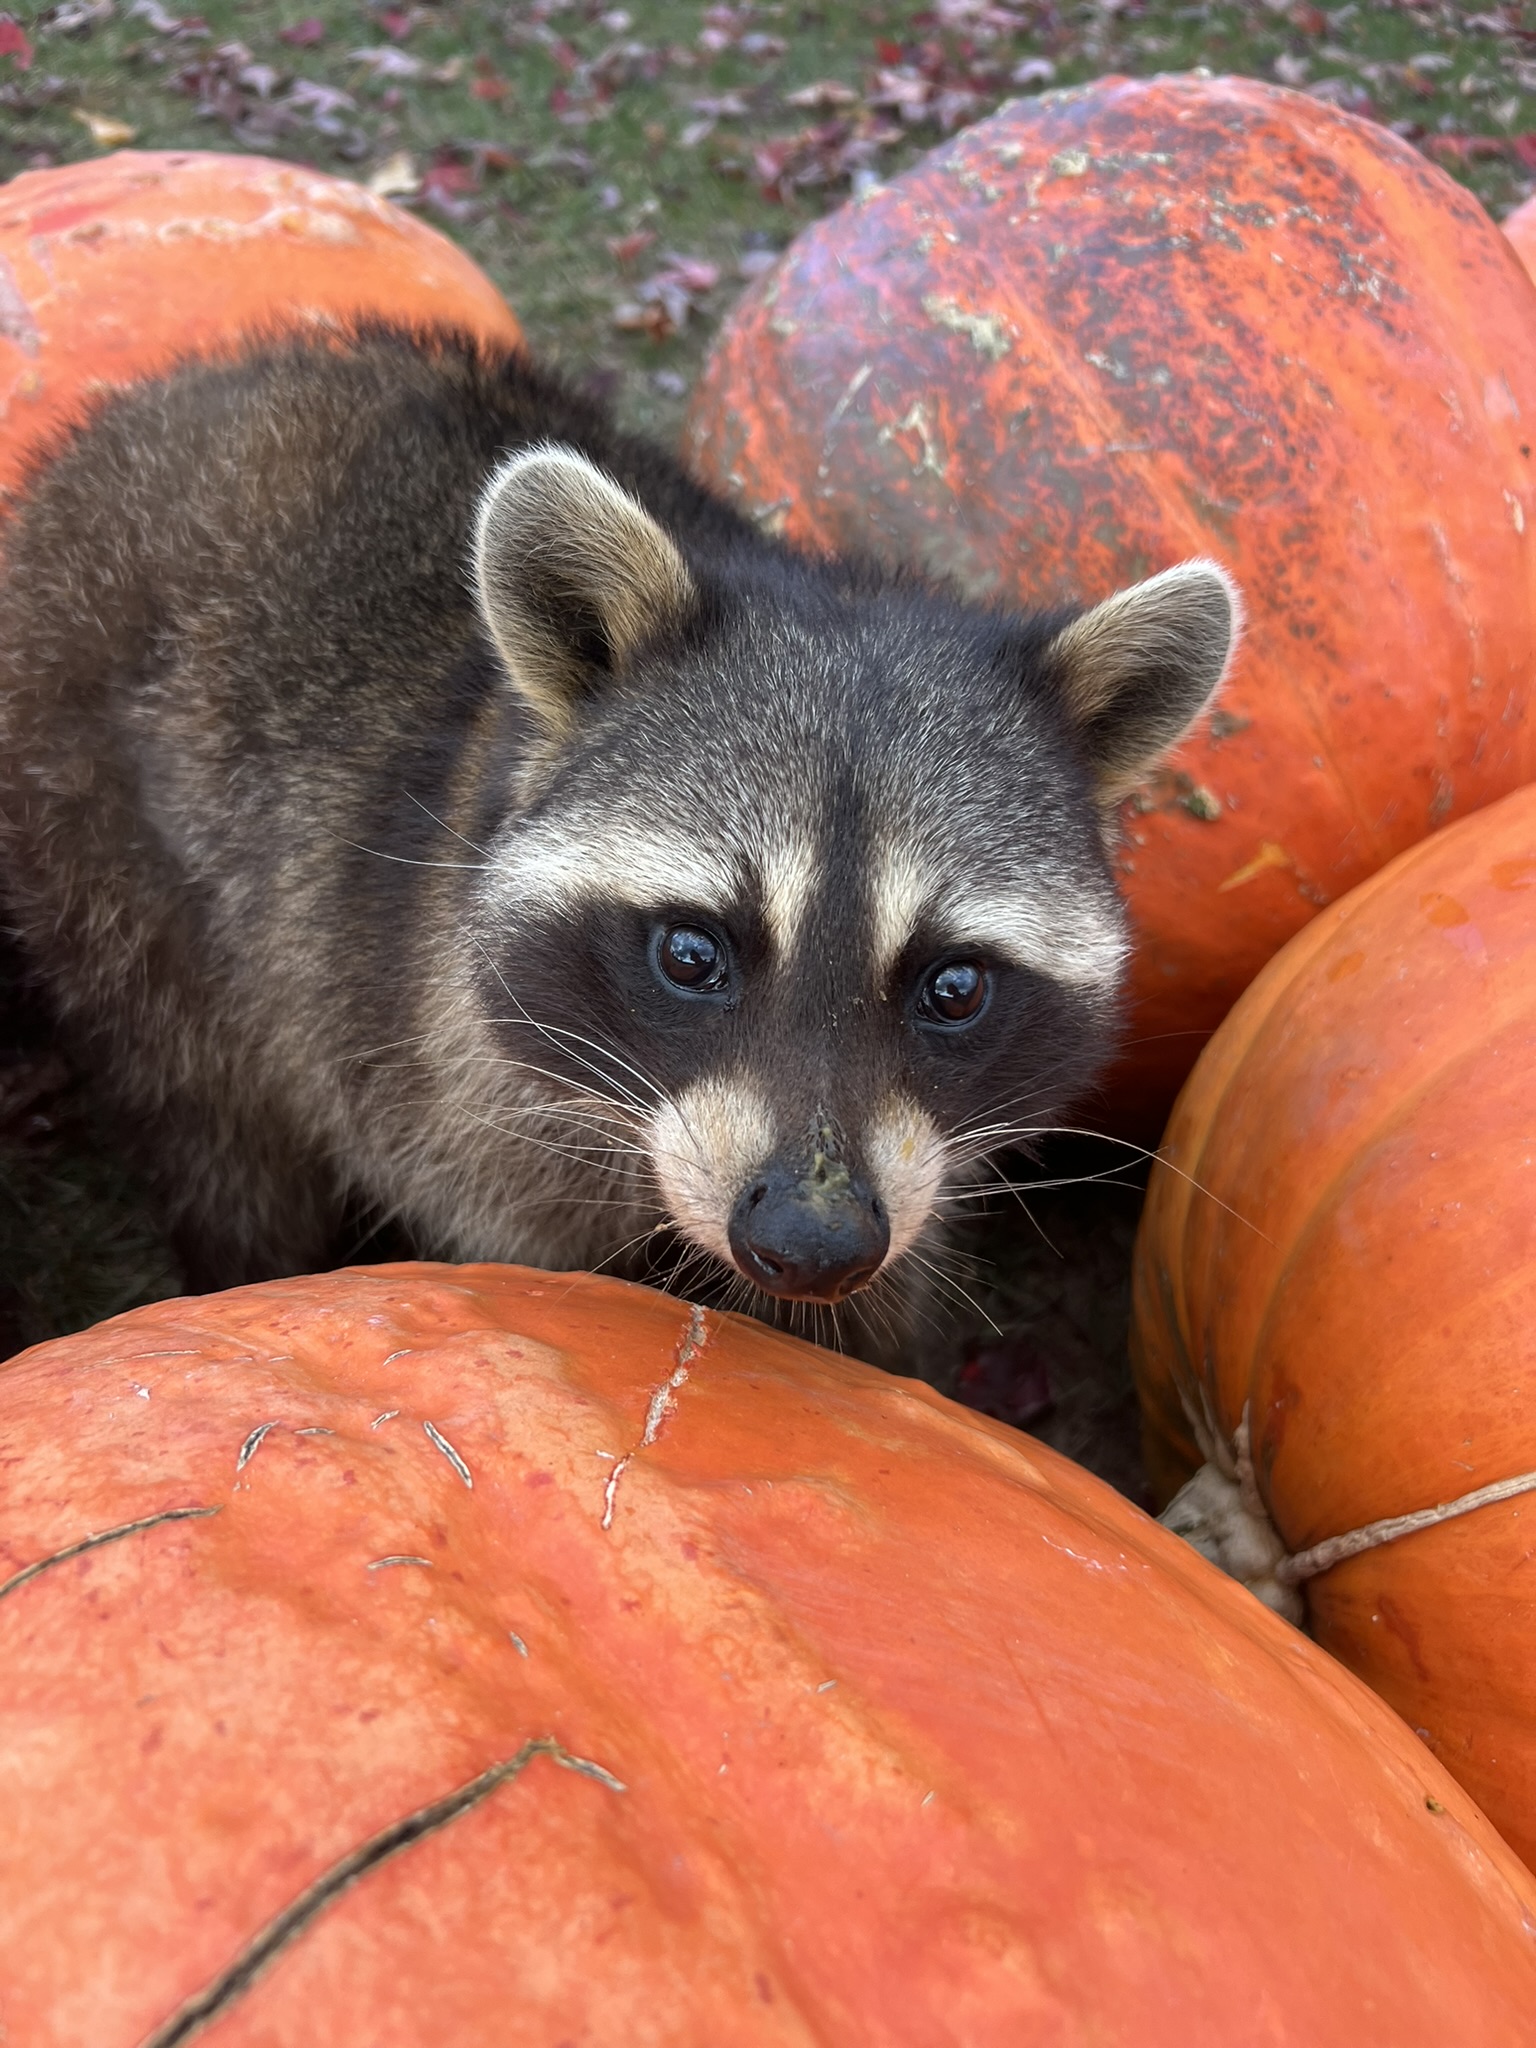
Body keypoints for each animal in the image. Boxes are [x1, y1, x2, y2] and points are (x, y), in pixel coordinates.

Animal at [0, 324, 1237, 1369]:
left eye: (955, 984)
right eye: (693, 953)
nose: (811, 1240)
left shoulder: (911, 1180)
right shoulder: (441, 1087)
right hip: (100, 834)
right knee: (213, 1113)